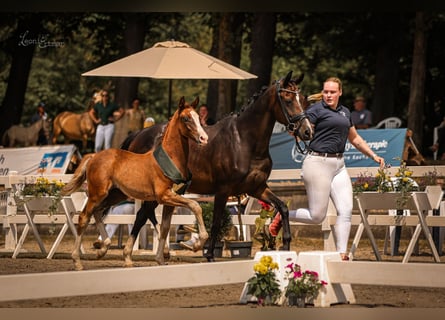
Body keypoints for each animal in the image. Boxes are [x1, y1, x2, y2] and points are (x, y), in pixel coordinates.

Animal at [60, 95, 208, 270]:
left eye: (198, 117)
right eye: (186, 118)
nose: (204, 138)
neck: (171, 158)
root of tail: (93, 156)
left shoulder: (170, 200)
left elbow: (165, 228)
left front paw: (161, 259)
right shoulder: (164, 196)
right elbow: (196, 206)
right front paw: (198, 244)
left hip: (116, 194)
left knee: (97, 212)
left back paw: (103, 249)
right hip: (98, 193)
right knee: (84, 217)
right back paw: (77, 261)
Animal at [119, 72, 310, 264]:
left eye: (302, 99)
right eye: (287, 99)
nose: (307, 131)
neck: (244, 141)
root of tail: (140, 134)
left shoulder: (257, 188)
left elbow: (283, 208)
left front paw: (286, 245)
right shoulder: (223, 190)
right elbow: (216, 221)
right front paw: (209, 255)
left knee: (151, 216)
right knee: (142, 216)